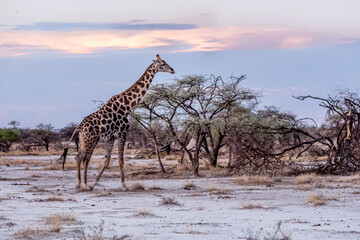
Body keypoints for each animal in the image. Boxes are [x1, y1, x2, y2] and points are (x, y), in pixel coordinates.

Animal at [61, 54, 174, 191]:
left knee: (78, 157)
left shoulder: (111, 137)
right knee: (85, 159)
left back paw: (78, 184)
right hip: (92, 140)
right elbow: (120, 160)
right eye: (163, 64)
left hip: (83, 140)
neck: (126, 106)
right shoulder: (123, 133)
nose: (172, 70)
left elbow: (107, 161)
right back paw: (84, 184)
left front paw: (94, 184)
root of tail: (79, 127)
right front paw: (124, 185)